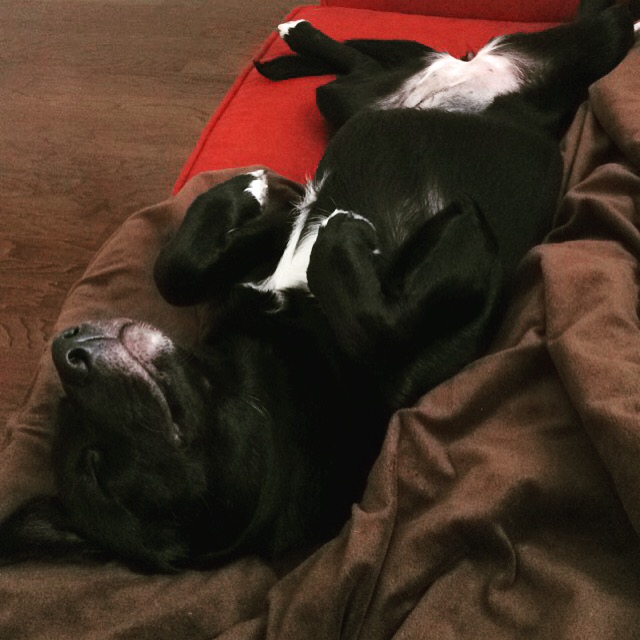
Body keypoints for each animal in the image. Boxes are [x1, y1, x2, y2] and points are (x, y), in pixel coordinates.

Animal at [0, 3, 636, 572]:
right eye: (95, 469)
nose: (65, 347)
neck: (264, 382)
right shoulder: (446, 312)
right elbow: (377, 322)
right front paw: (338, 234)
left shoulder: (262, 251)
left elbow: (179, 269)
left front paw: (248, 189)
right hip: (553, 56)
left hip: (356, 98)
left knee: (362, 68)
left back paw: (298, 39)